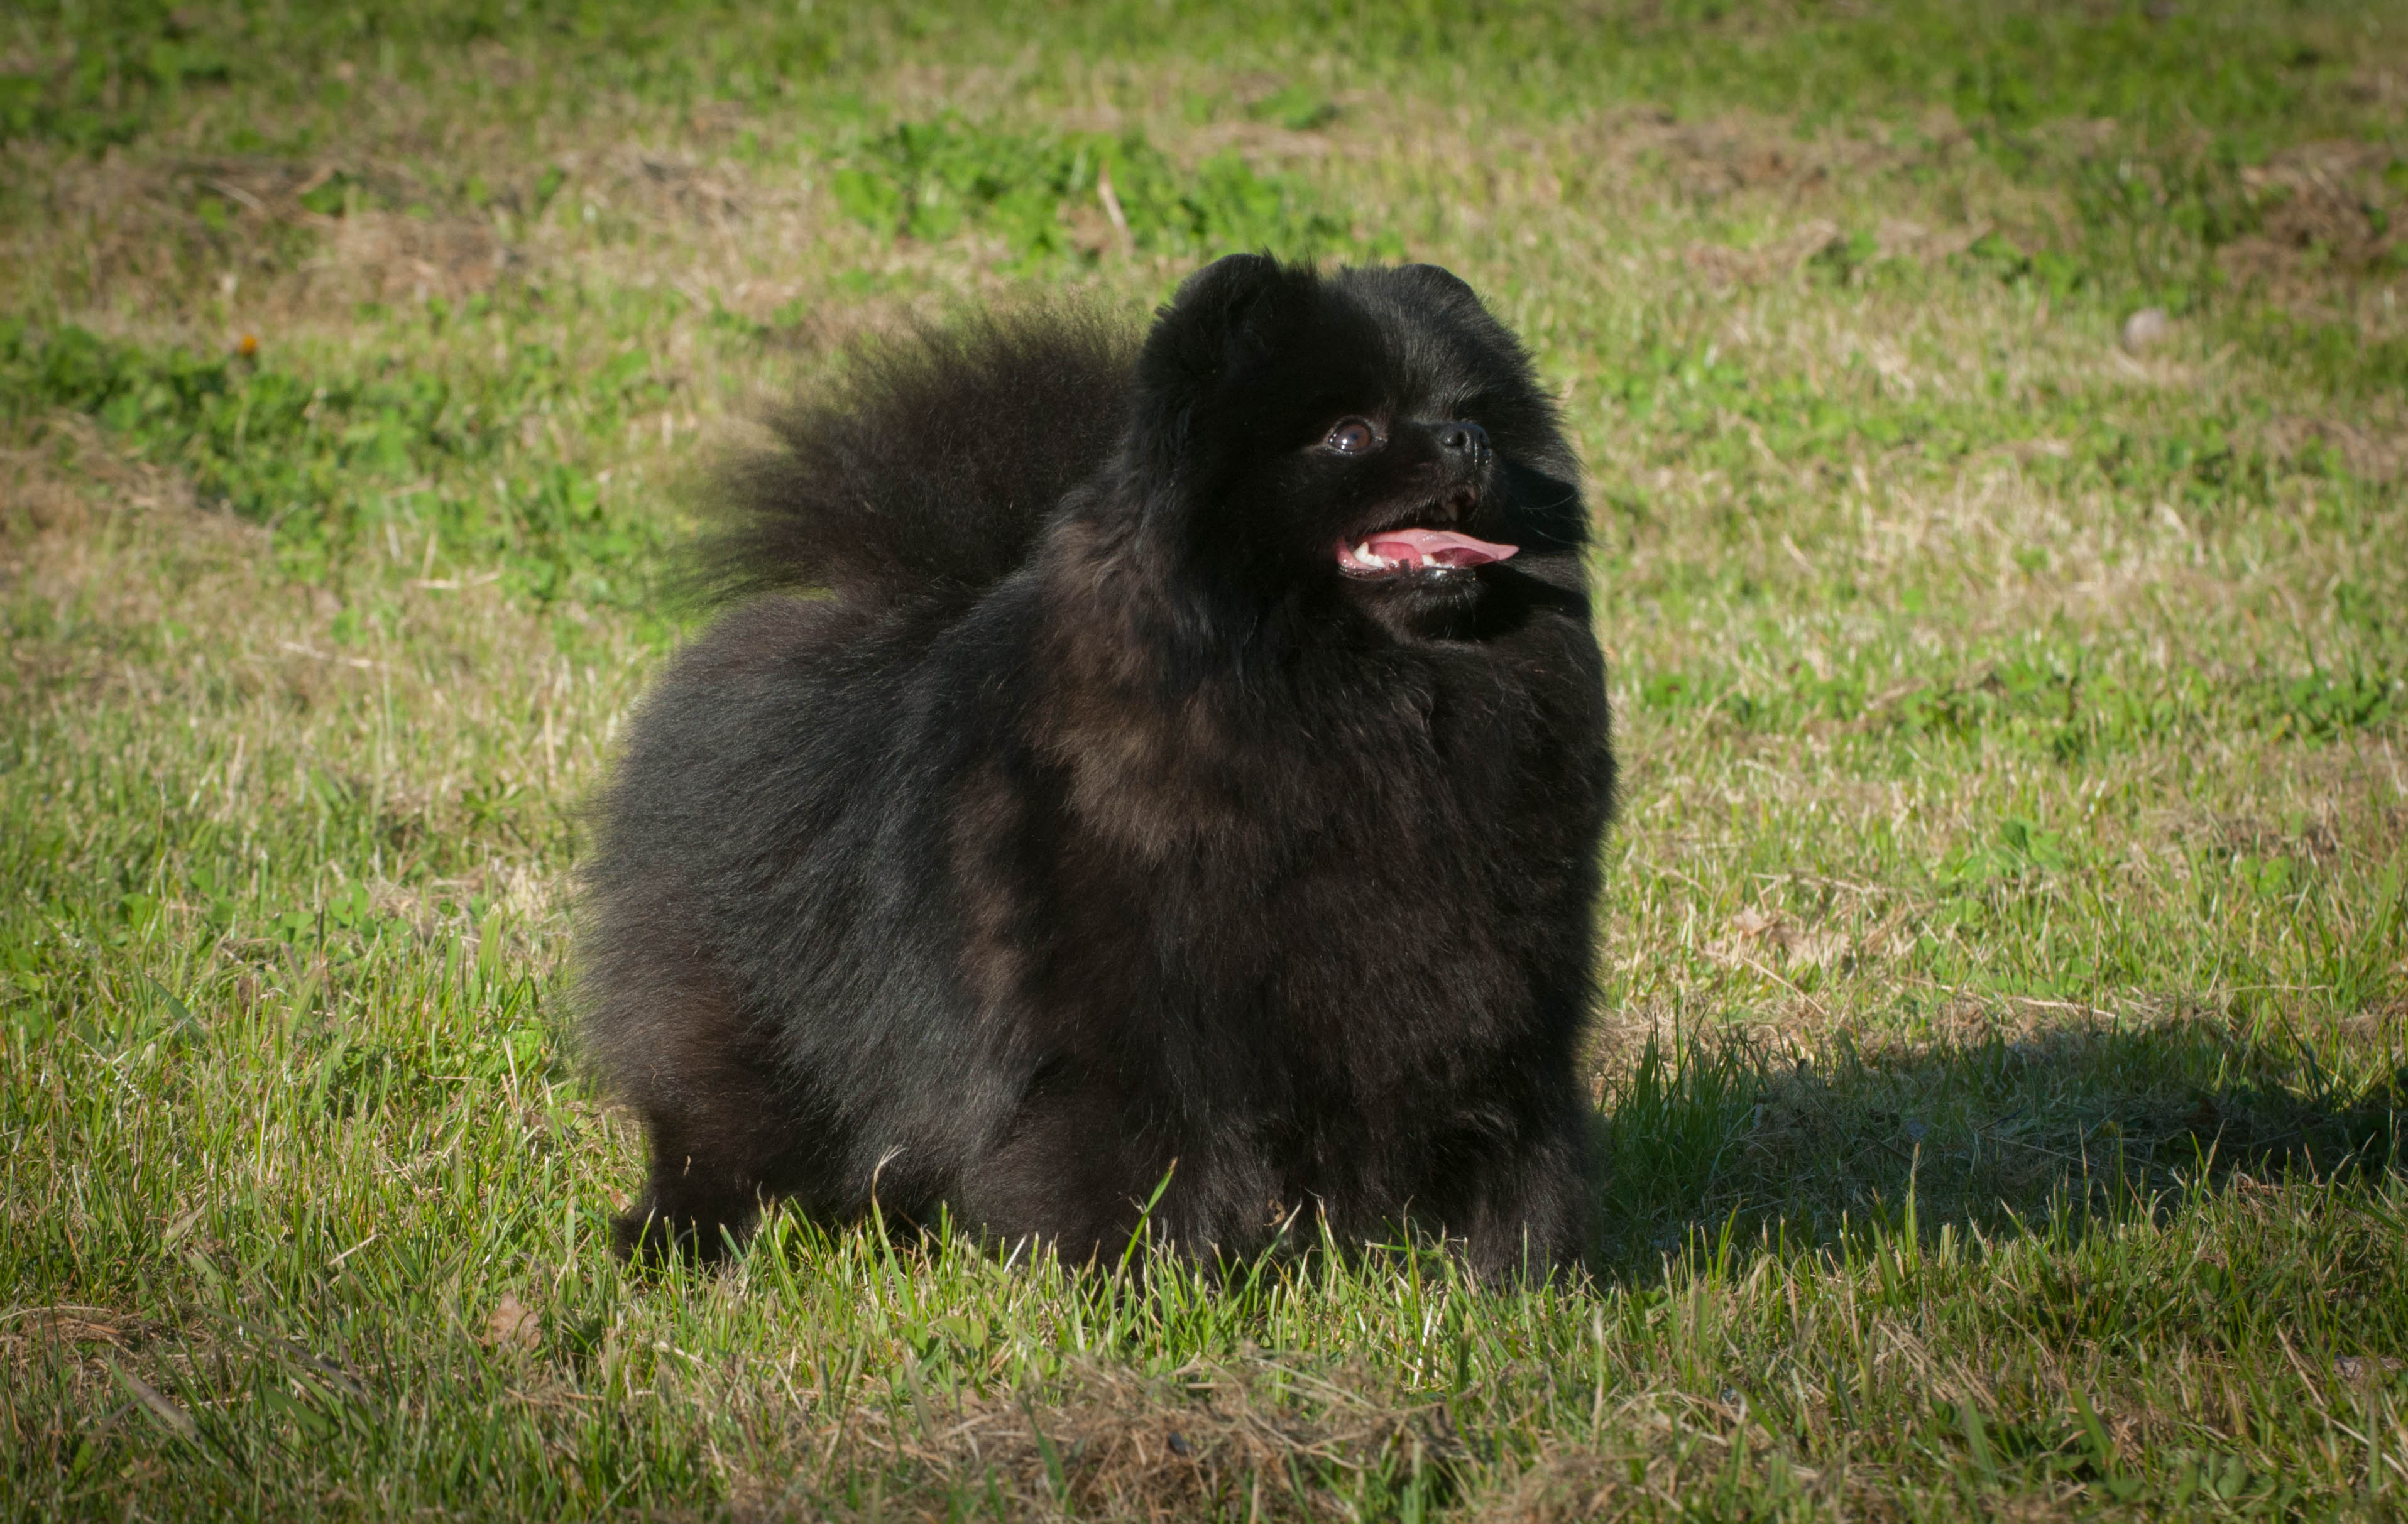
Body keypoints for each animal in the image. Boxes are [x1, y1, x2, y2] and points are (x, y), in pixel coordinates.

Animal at [573, 255, 1608, 1280]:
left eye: (1472, 412)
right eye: (1349, 434)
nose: (1467, 440)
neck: (1355, 703)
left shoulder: (1484, 1009)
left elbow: (1501, 1151)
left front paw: (1505, 1279)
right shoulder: (1130, 1031)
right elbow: (1127, 1161)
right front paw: (1132, 1287)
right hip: (748, 1009)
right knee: (715, 1127)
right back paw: (673, 1240)